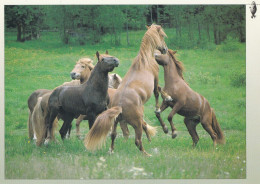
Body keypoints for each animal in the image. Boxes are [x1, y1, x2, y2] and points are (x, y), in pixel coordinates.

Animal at [84, 24, 168, 157]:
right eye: (162, 35)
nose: (165, 49)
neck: (144, 60)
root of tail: (120, 105)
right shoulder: (155, 80)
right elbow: (157, 93)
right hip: (136, 123)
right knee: (137, 140)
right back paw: (147, 154)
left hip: (115, 122)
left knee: (113, 135)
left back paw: (111, 151)